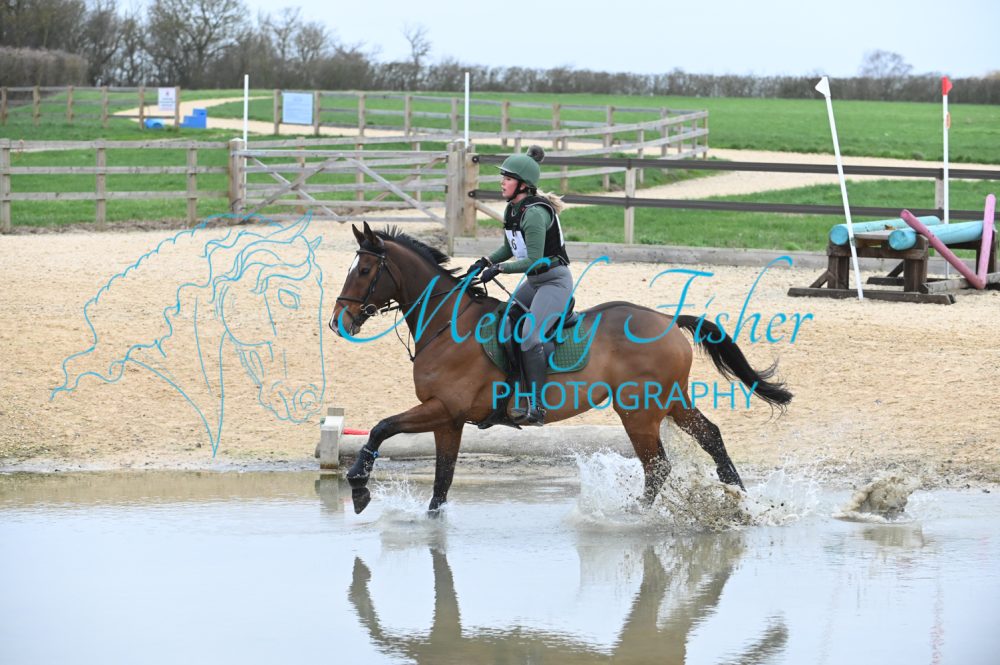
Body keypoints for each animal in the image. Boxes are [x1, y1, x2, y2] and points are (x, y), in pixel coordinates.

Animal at [331, 222, 791, 514]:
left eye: (366, 270)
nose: (340, 322)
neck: (448, 323)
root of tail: (667, 319)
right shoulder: (449, 420)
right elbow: (441, 483)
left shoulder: (443, 408)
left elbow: (382, 427)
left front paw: (358, 484)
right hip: (672, 401)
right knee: (710, 436)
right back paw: (740, 497)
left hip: (638, 412)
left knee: (658, 466)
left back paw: (632, 515)